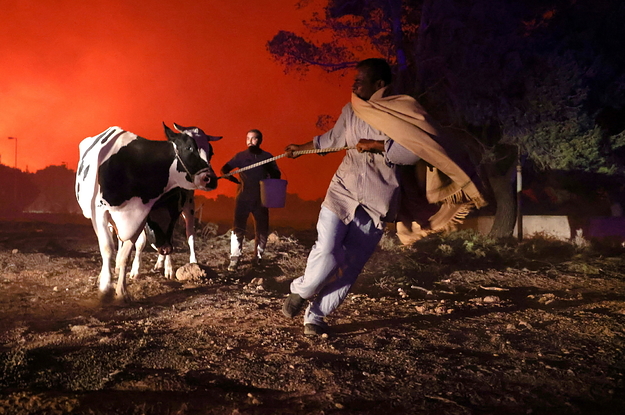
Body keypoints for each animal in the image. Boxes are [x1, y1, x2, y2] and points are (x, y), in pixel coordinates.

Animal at [76, 123, 219, 302]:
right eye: (189, 148)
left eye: (211, 151)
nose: (210, 179)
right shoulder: (100, 213)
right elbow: (108, 248)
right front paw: (105, 287)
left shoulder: (141, 216)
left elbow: (127, 253)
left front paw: (121, 291)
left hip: (189, 206)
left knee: (188, 235)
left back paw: (187, 264)